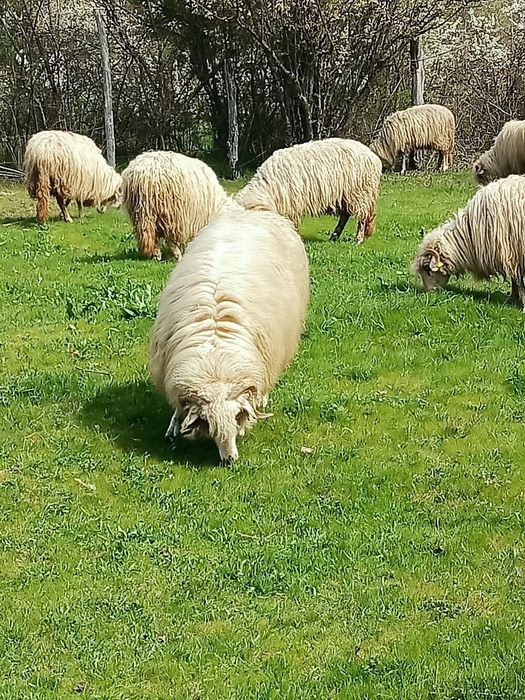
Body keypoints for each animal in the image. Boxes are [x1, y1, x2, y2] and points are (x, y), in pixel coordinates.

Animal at [149, 204, 309, 461]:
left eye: (236, 419)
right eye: (208, 423)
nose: (230, 460)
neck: (216, 361)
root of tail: (253, 211)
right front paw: (173, 426)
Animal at [234, 138, 382, 243]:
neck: (269, 189)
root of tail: (374, 157)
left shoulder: (292, 206)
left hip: (360, 193)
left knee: (362, 218)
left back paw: (358, 239)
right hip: (345, 196)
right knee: (345, 217)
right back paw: (334, 237)